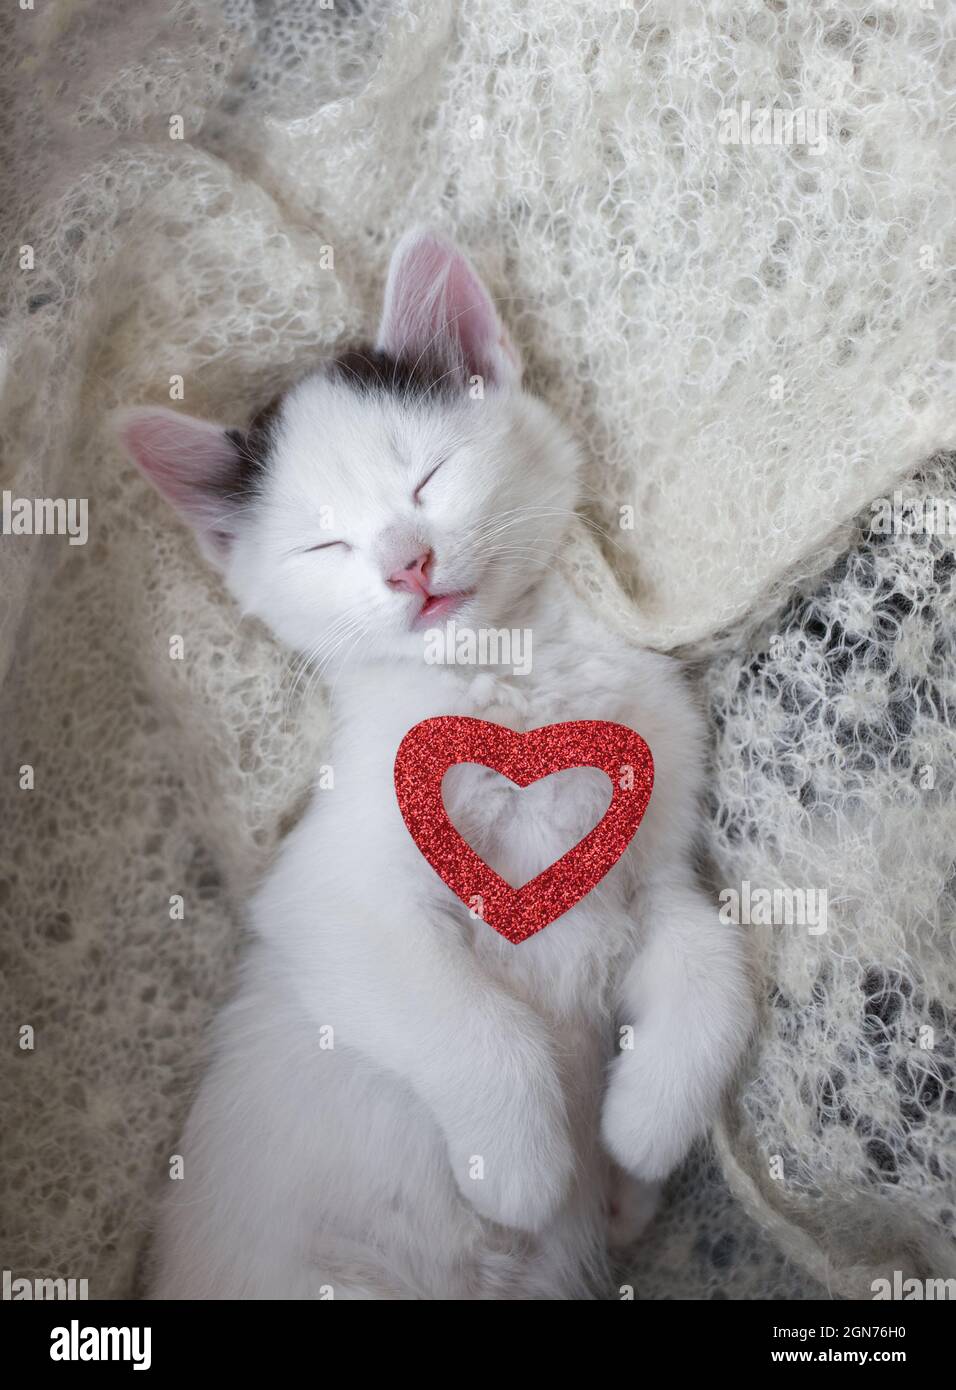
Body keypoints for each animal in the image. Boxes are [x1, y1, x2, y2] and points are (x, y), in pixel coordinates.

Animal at [117, 227, 755, 1301]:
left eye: (429, 477)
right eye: (325, 545)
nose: (405, 562)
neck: (510, 677)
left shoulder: (651, 860)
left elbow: (713, 962)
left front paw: (637, 1140)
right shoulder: (327, 898)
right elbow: (472, 1024)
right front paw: (526, 1171)